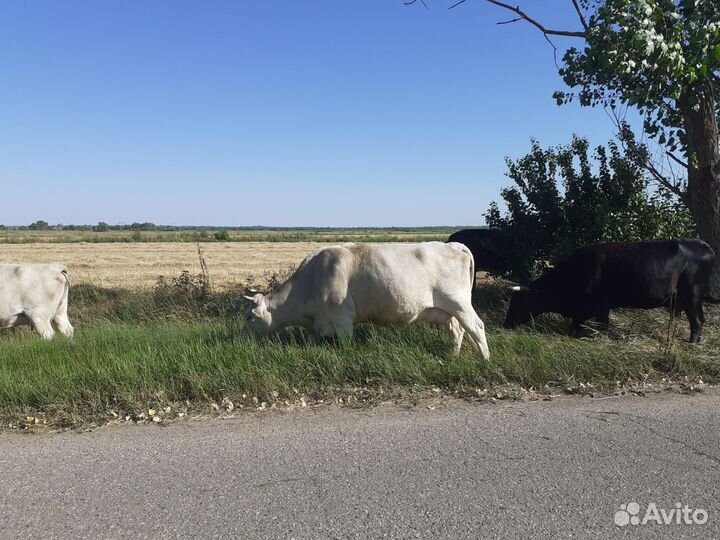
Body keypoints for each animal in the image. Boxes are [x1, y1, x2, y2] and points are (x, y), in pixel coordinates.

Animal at [243, 242, 490, 359]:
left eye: (249, 317)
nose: (242, 339)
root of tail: (453, 245)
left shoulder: (342, 319)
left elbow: (345, 343)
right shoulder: (319, 323)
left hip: (459, 302)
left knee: (476, 326)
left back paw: (485, 358)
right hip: (447, 311)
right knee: (457, 331)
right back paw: (453, 356)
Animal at [503, 239, 716, 343]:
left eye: (519, 301)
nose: (505, 325)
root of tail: (704, 246)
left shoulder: (601, 306)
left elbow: (602, 326)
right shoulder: (581, 310)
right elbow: (574, 327)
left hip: (691, 294)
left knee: (696, 321)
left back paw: (692, 342)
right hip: (689, 298)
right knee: (699, 318)